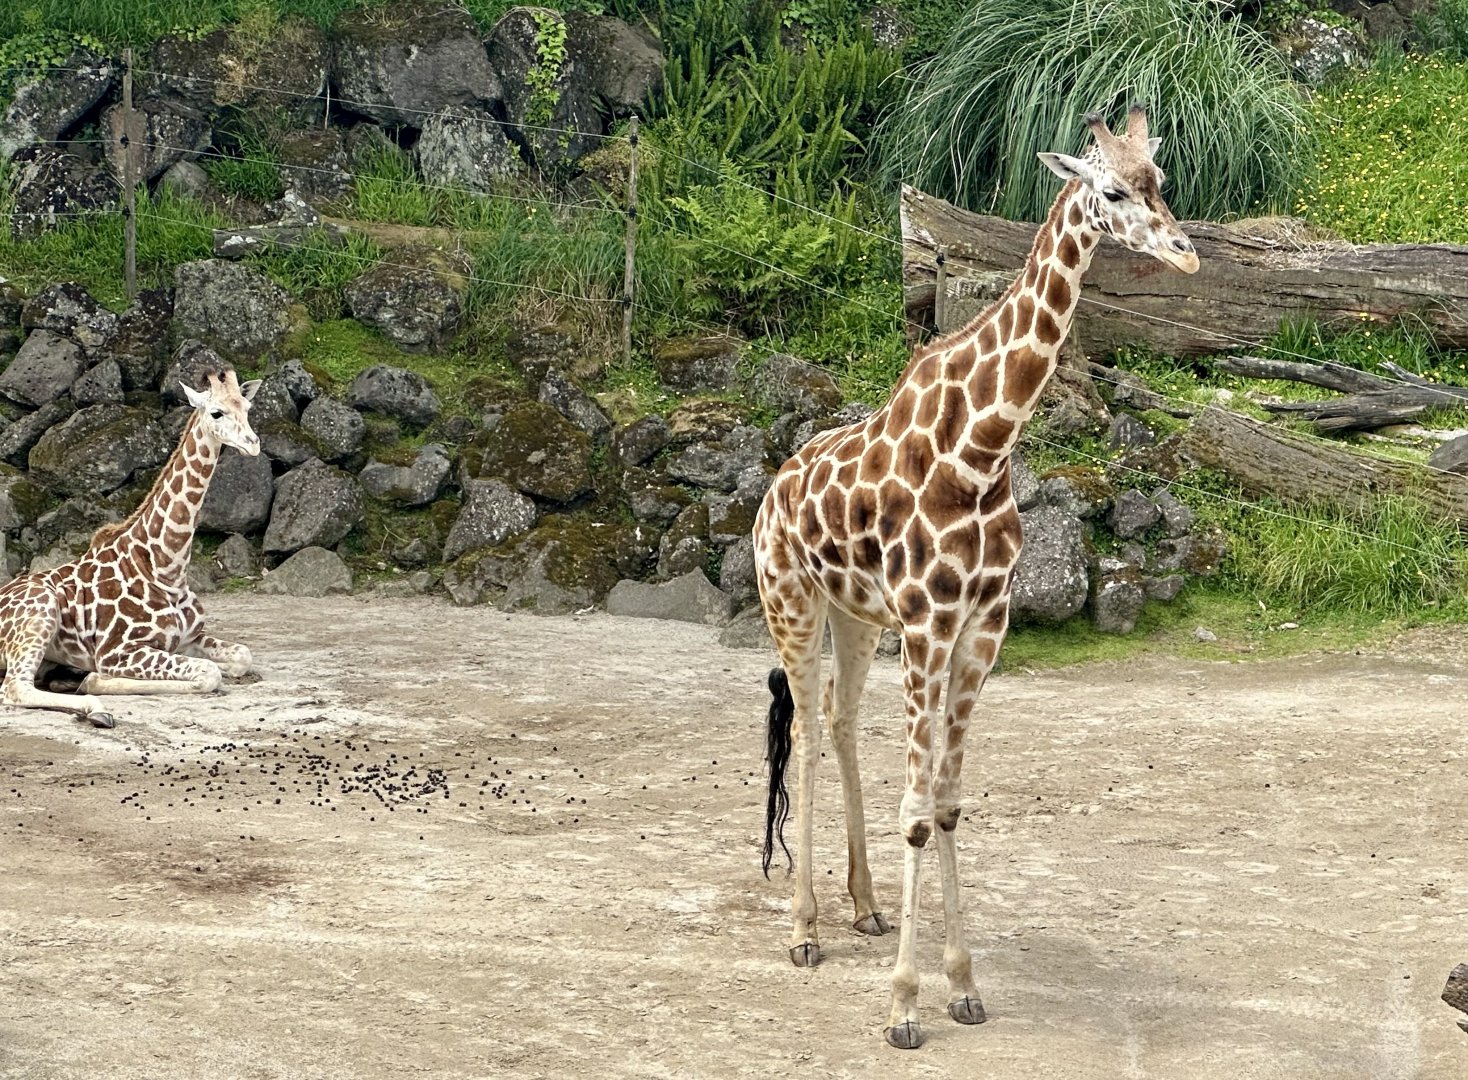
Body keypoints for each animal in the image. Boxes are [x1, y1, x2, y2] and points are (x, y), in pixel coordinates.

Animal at [0, 368, 262, 729]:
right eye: (216, 413)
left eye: (247, 408)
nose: (253, 444)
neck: (166, 566)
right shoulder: (117, 651)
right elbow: (208, 674)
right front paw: (92, 679)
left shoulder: (190, 637)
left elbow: (241, 657)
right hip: (41, 611)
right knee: (14, 687)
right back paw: (95, 707)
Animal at [752, 105, 1199, 1049]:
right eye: (1111, 191)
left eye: (1160, 182)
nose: (1184, 252)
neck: (984, 448)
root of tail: (771, 490)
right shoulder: (929, 622)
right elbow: (918, 811)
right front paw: (902, 1006)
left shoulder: (981, 626)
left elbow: (948, 804)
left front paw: (960, 985)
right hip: (792, 603)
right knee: (804, 732)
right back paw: (806, 930)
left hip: (856, 616)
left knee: (840, 722)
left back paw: (865, 908)